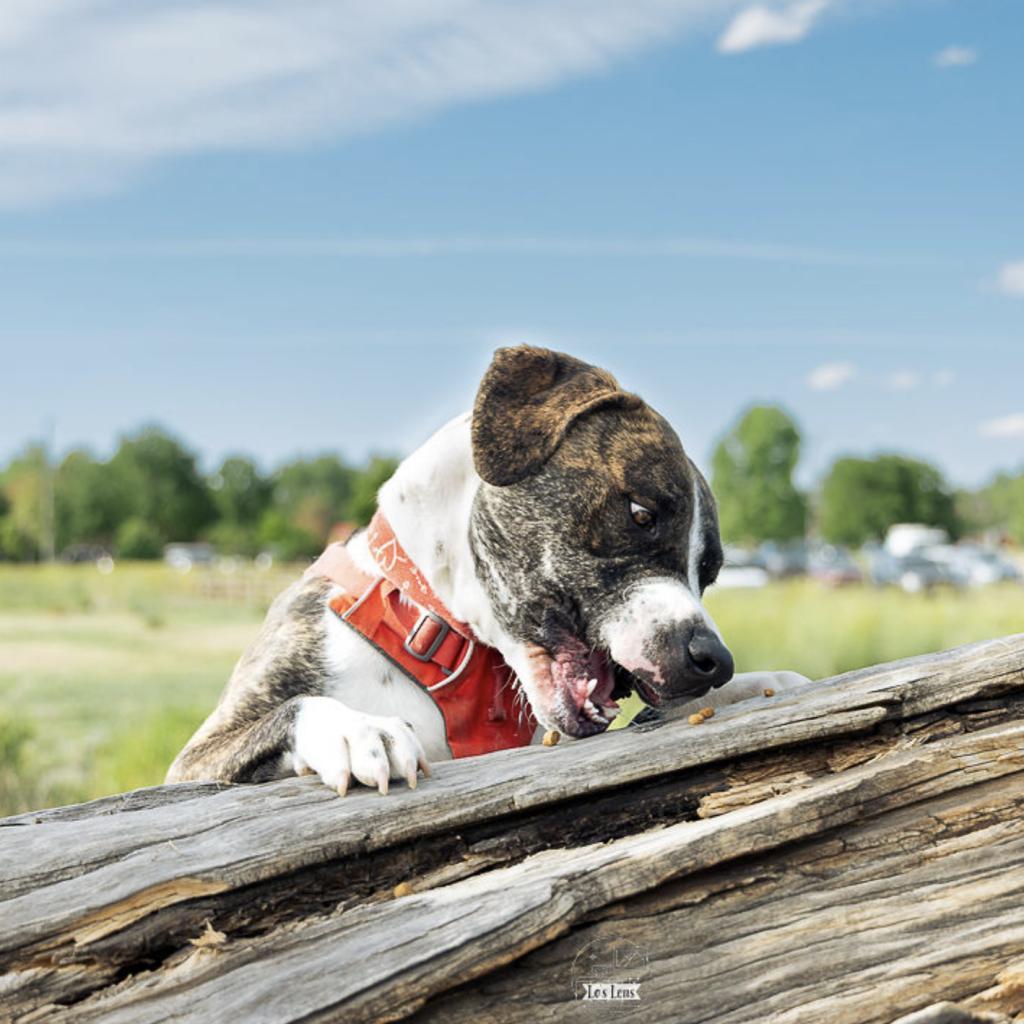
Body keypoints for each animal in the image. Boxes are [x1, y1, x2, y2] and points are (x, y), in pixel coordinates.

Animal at [167, 348, 806, 794]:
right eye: (640, 512)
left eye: (710, 573)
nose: (714, 660)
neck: (439, 625)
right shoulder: (195, 763)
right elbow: (292, 709)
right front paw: (359, 729)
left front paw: (766, 683)